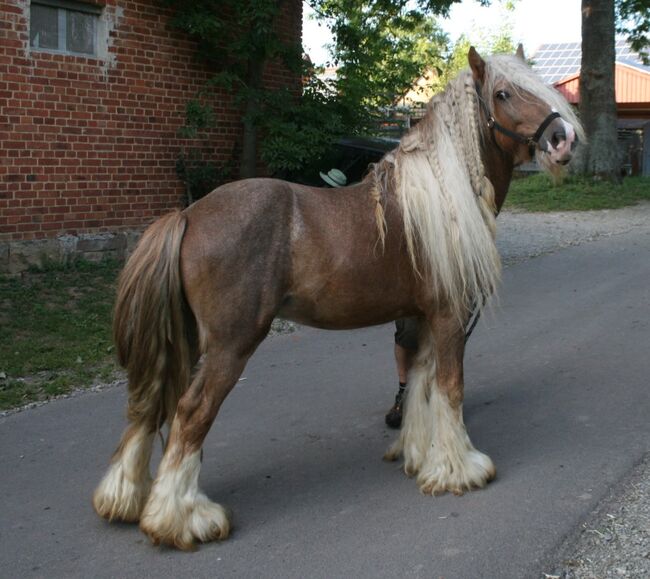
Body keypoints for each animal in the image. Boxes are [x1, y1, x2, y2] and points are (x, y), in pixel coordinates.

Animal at [92, 47, 584, 552]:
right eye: (503, 93)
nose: (562, 139)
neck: (442, 198)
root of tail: (188, 214)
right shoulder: (449, 318)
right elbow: (450, 388)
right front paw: (461, 470)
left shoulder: (421, 318)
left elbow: (421, 385)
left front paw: (420, 457)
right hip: (231, 346)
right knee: (190, 414)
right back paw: (183, 519)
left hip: (184, 341)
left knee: (152, 403)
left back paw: (129, 499)